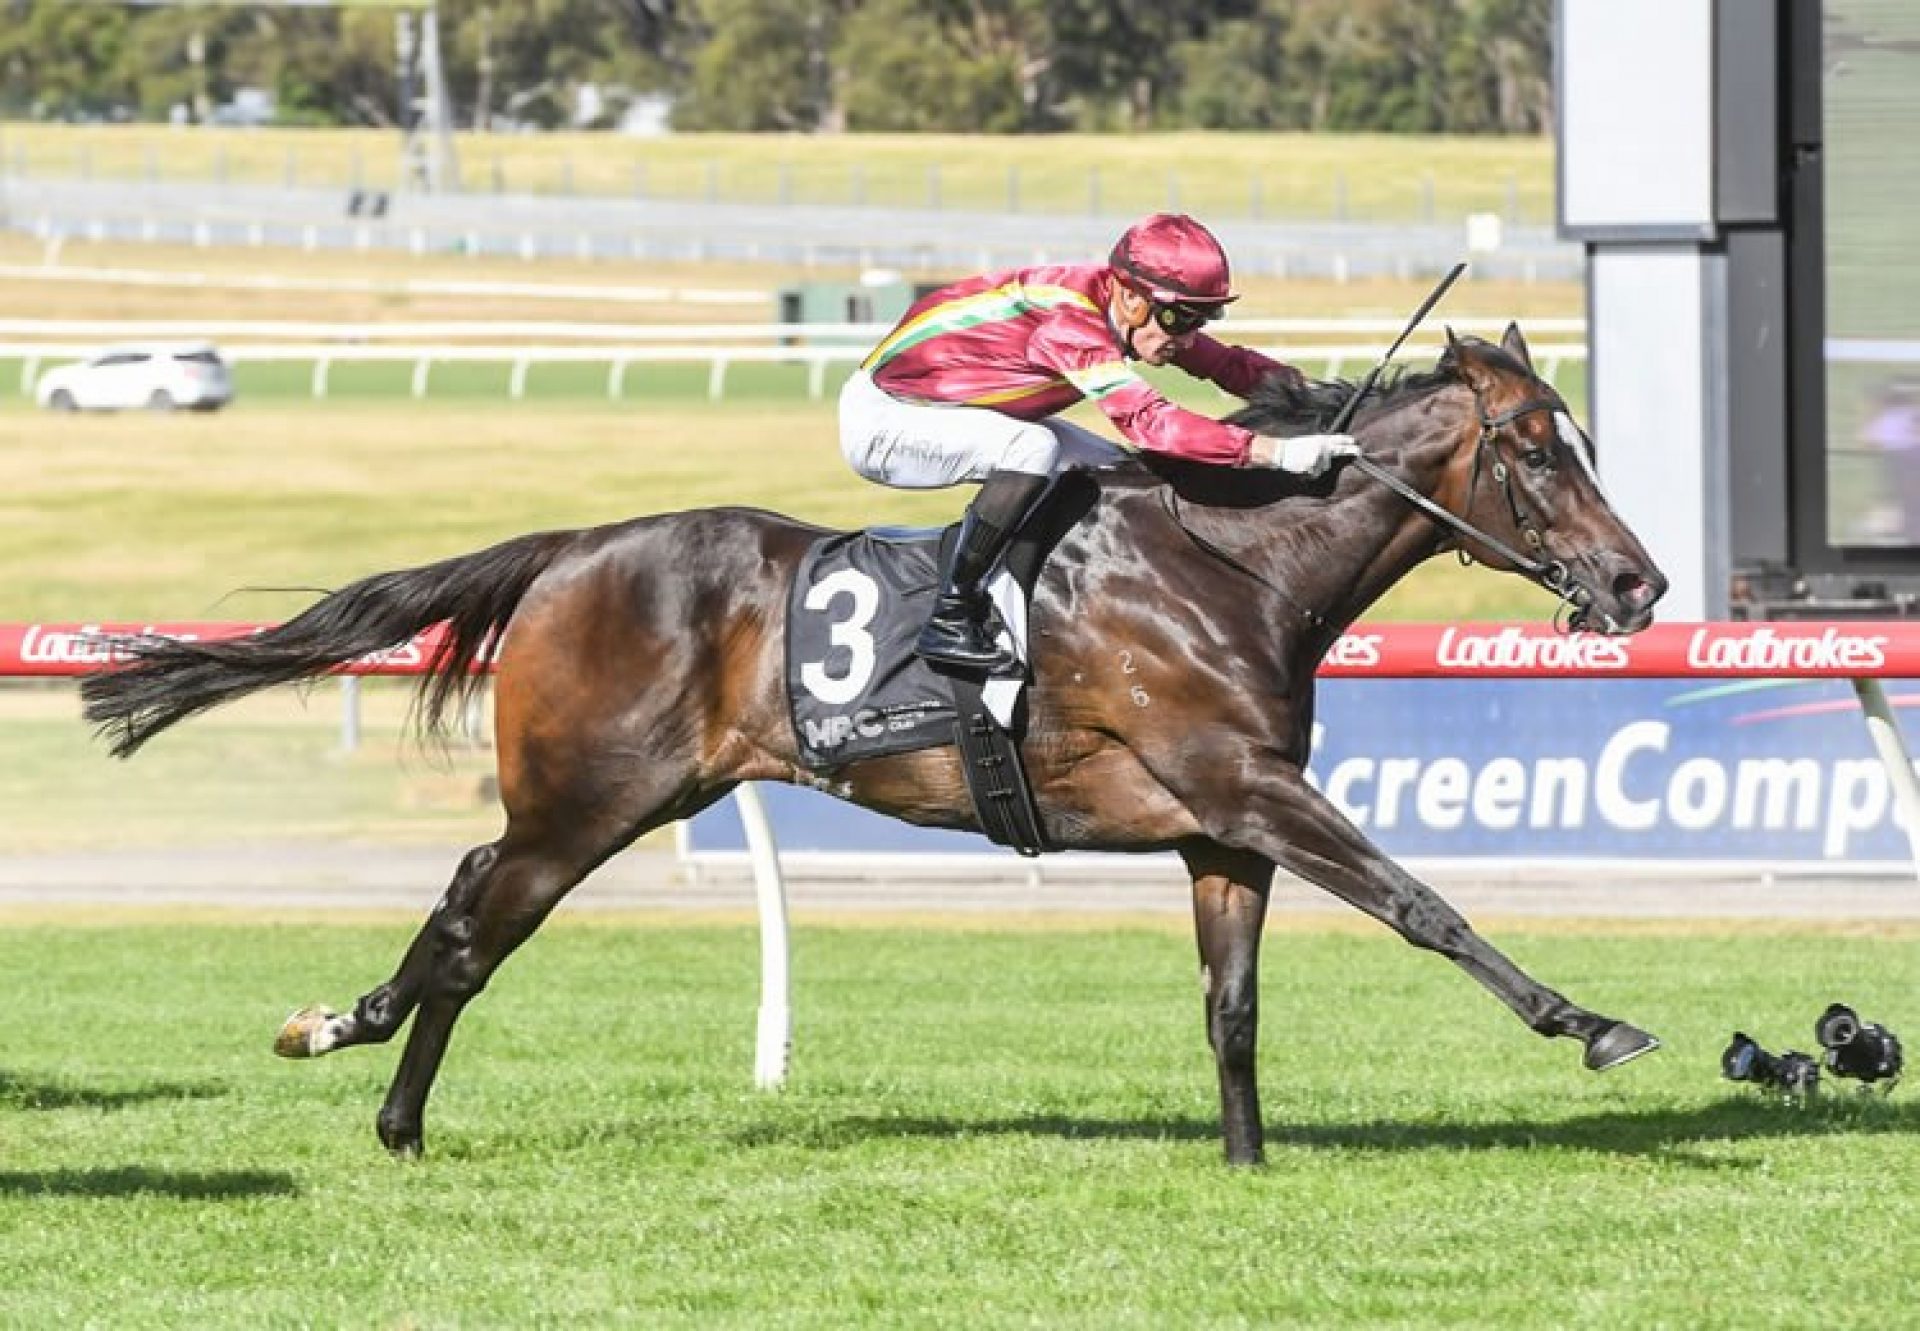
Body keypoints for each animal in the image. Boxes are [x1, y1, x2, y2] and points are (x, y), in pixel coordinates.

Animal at [78, 324, 1666, 1160]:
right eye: (1537, 446)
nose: (1640, 583)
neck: (1231, 560)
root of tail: (573, 549)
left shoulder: (1226, 825)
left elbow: (1234, 1005)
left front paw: (1246, 1157)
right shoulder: (1249, 782)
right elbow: (1423, 901)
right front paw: (1593, 1020)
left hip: (608, 794)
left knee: (467, 895)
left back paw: (350, 1036)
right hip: (590, 797)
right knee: (478, 924)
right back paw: (387, 1098)